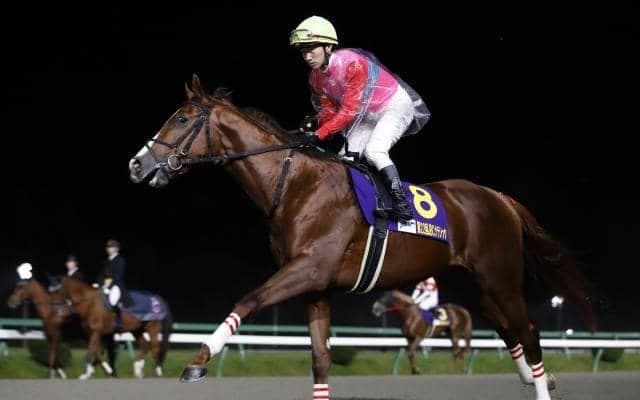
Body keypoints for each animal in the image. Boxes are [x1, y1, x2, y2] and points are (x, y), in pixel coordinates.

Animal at [128, 75, 594, 400]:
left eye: (182, 118)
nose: (136, 164)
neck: (296, 183)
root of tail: (498, 197)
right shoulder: (315, 286)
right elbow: (320, 359)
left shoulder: (309, 267)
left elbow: (248, 299)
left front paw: (198, 360)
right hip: (472, 286)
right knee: (508, 329)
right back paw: (538, 376)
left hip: (500, 278)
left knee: (527, 327)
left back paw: (540, 384)